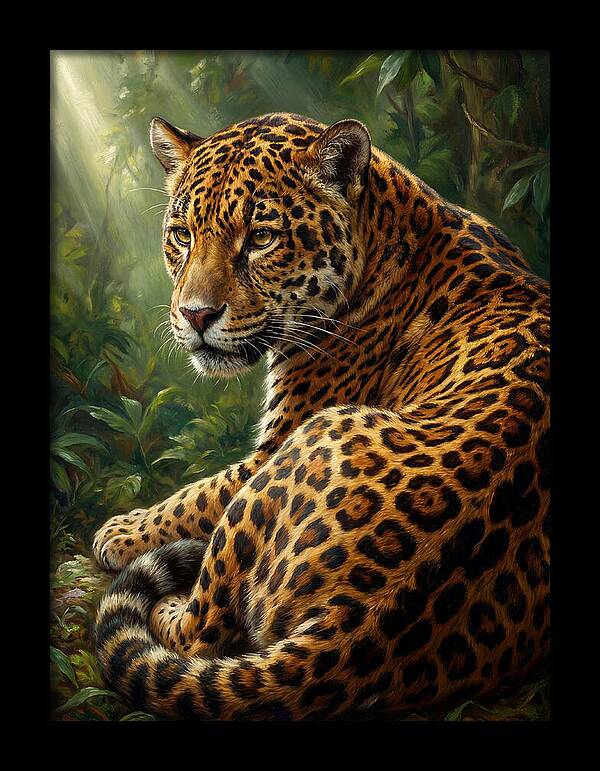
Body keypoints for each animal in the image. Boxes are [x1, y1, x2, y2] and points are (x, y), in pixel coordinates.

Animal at [92, 111, 550, 720]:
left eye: (261, 237)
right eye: (183, 234)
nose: (195, 315)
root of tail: (356, 626)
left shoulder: (272, 444)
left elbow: (196, 495)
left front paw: (120, 531)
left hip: (306, 443)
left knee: (200, 633)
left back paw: (168, 602)